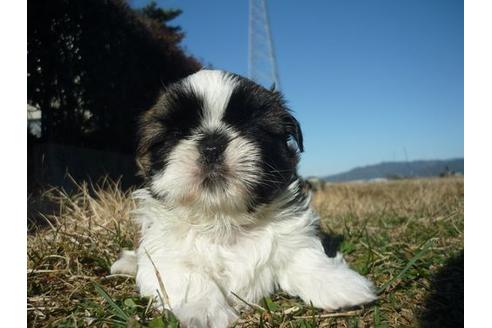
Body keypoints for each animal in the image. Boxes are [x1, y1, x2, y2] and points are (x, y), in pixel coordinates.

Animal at [111, 69, 376, 326]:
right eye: (178, 133)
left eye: (248, 128)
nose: (211, 145)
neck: (224, 221)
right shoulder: (167, 256)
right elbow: (190, 277)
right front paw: (203, 311)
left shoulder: (294, 237)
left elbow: (306, 257)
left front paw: (337, 284)